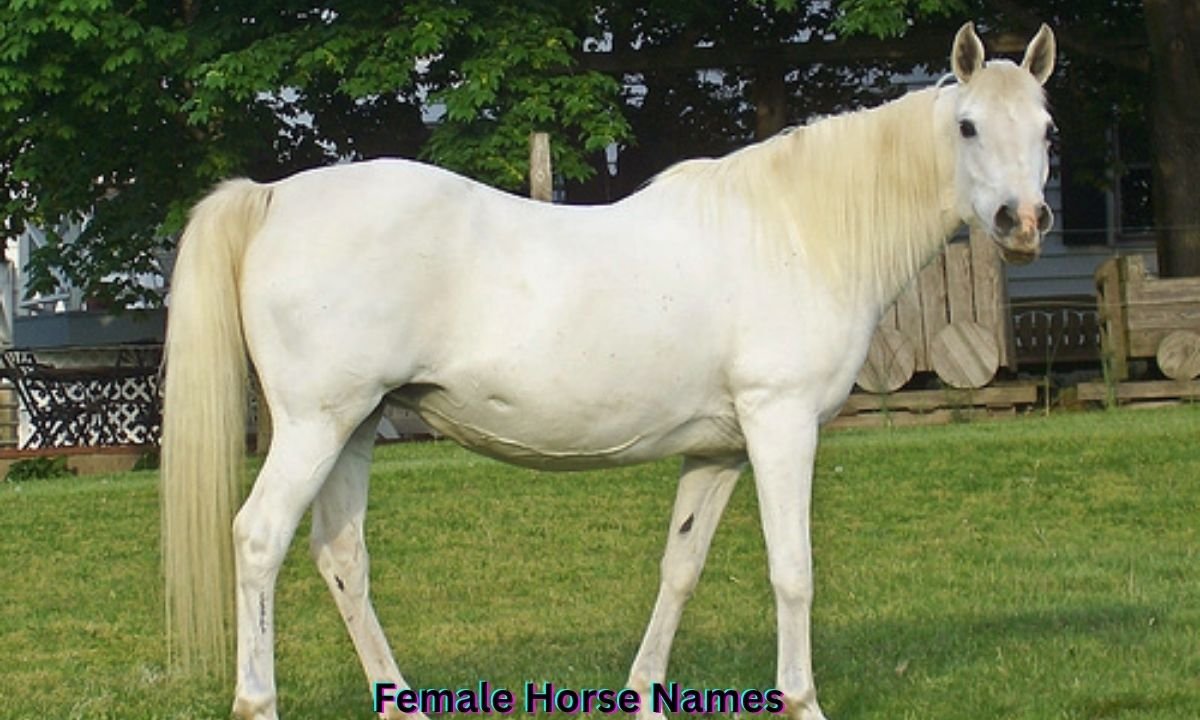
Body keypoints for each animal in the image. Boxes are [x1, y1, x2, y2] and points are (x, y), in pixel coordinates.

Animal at [160, 22, 1057, 720]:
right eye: (969, 126)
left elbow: (681, 570)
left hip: (356, 427)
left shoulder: (718, 450)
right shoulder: (780, 426)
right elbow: (793, 571)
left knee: (342, 559)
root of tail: (274, 197)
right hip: (315, 426)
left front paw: (644, 695)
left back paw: (402, 701)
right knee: (259, 539)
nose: (1022, 221)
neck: (796, 230)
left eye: (1046, 129)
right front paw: (802, 700)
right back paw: (257, 700)